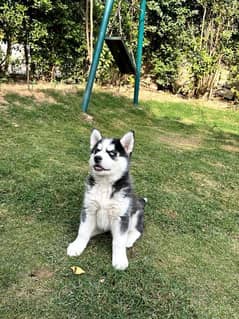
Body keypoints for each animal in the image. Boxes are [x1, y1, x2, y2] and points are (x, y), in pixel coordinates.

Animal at [66, 129, 147, 272]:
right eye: (96, 151)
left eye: (112, 153)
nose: (97, 158)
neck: (105, 184)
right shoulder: (89, 210)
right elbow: (83, 231)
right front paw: (77, 246)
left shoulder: (121, 216)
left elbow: (119, 241)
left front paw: (120, 260)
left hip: (136, 213)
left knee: (137, 230)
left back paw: (128, 239)